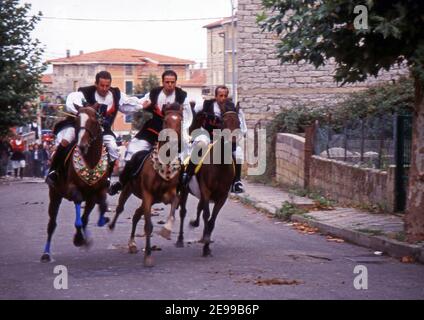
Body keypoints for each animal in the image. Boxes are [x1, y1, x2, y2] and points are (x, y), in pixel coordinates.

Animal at [40, 105, 110, 262]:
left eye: (94, 121)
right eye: (77, 121)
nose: (82, 145)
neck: (90, 161)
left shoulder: (97, 192)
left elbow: (99, 208)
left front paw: (101, 221)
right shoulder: (73, 189)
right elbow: (79, 216)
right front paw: (78, 238)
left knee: (85, 217)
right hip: (54, 195)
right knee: (51, 224)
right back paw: (46, 254)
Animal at [108, 103, 183, 268]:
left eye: (180, 121)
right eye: (166, 121)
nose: (172, 140)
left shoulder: (168, 194)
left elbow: (175, 203)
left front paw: (166, 230)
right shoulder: (148, 195)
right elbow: (148, 226)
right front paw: (148, 255)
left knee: (136, 214)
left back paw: (132, 244)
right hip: (128, 189)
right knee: (120, 208)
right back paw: (112, 226)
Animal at [176, 108, 242, 258]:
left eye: (239, 122)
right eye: (223, 122)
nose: (233, 143)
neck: (220, 166)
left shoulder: (222, 197)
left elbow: (211, 220)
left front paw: (206, 245)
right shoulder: (206, 190)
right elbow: (206, 215)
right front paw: (205, 245)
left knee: (199, 209)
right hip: (184, 189)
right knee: (183, 212)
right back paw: (180, 240)